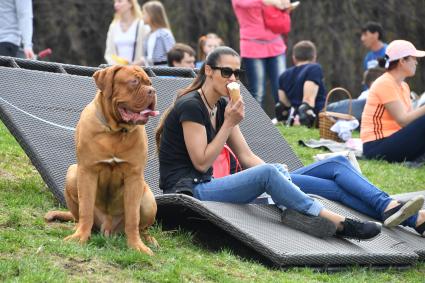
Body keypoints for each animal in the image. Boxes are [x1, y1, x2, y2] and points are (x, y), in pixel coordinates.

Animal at [45, 65, 159, 256]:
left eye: (149, 83)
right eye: (134, 82)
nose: (152, 91)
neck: (115, 131)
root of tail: (108, 228)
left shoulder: (134, 177)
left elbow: (133, 218)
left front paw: (136, 246)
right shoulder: (87, 171)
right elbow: (85, 210)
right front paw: (80, 237)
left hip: (149, 200)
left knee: (142, 226)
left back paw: (148, 239)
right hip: (72, 173)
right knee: (79, 216)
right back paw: (77, 229)